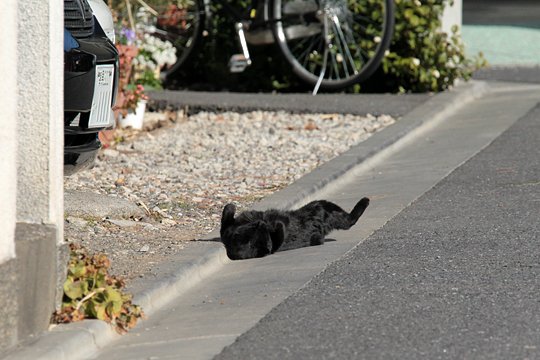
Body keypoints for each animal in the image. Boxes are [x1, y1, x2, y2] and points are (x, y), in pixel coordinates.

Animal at [218, 198, 368, 260]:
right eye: (259, 231)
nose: (263, 224)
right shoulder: (273, 244)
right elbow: (279, 237)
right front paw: (279, 225)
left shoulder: (226, 230)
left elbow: (227, 212)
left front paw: (231, 205)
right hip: (323, 207)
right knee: (348, 220)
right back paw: (365, 200)